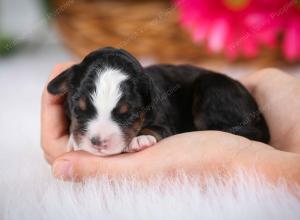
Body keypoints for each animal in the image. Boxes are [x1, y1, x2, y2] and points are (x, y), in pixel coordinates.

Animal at [47, 47, 270, 156]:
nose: (97, 142)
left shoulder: (165, 121)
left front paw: (140, 139)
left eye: (129, 115)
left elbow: (156, 129)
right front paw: (73, 141)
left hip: (213, 88)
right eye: (78, 109)